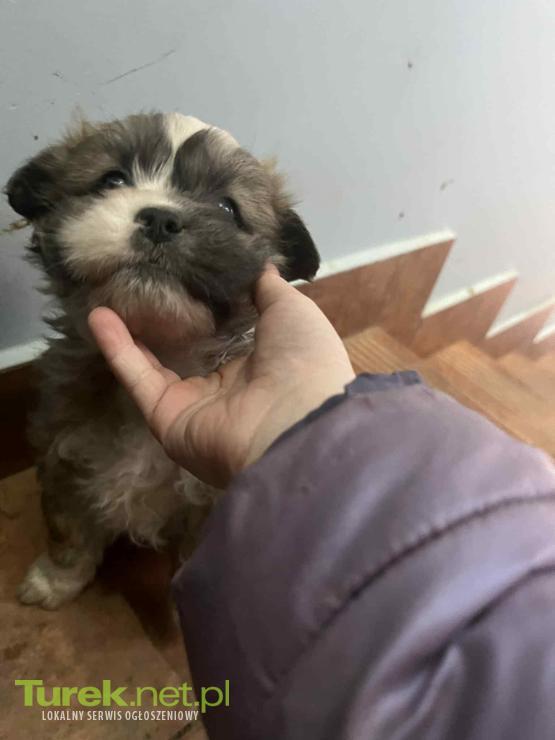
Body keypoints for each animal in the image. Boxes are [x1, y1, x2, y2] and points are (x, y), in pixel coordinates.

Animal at [6, 112, 319, 608]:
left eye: (228, 209)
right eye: (111, 180)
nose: (161, 218)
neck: (162, 348)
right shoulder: (63, 451)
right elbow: (67, 525)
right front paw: (56, 579)